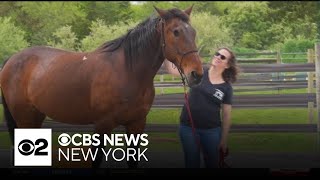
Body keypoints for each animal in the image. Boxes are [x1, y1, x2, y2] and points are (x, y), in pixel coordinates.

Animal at [0, 5, 202, 169]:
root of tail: (11, 60)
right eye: (176, 32)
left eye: (193, 32)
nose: (196, 74)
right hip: (24, 118)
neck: (128, 71)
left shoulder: (137, 124)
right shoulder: (103, 125)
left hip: (35, 116)